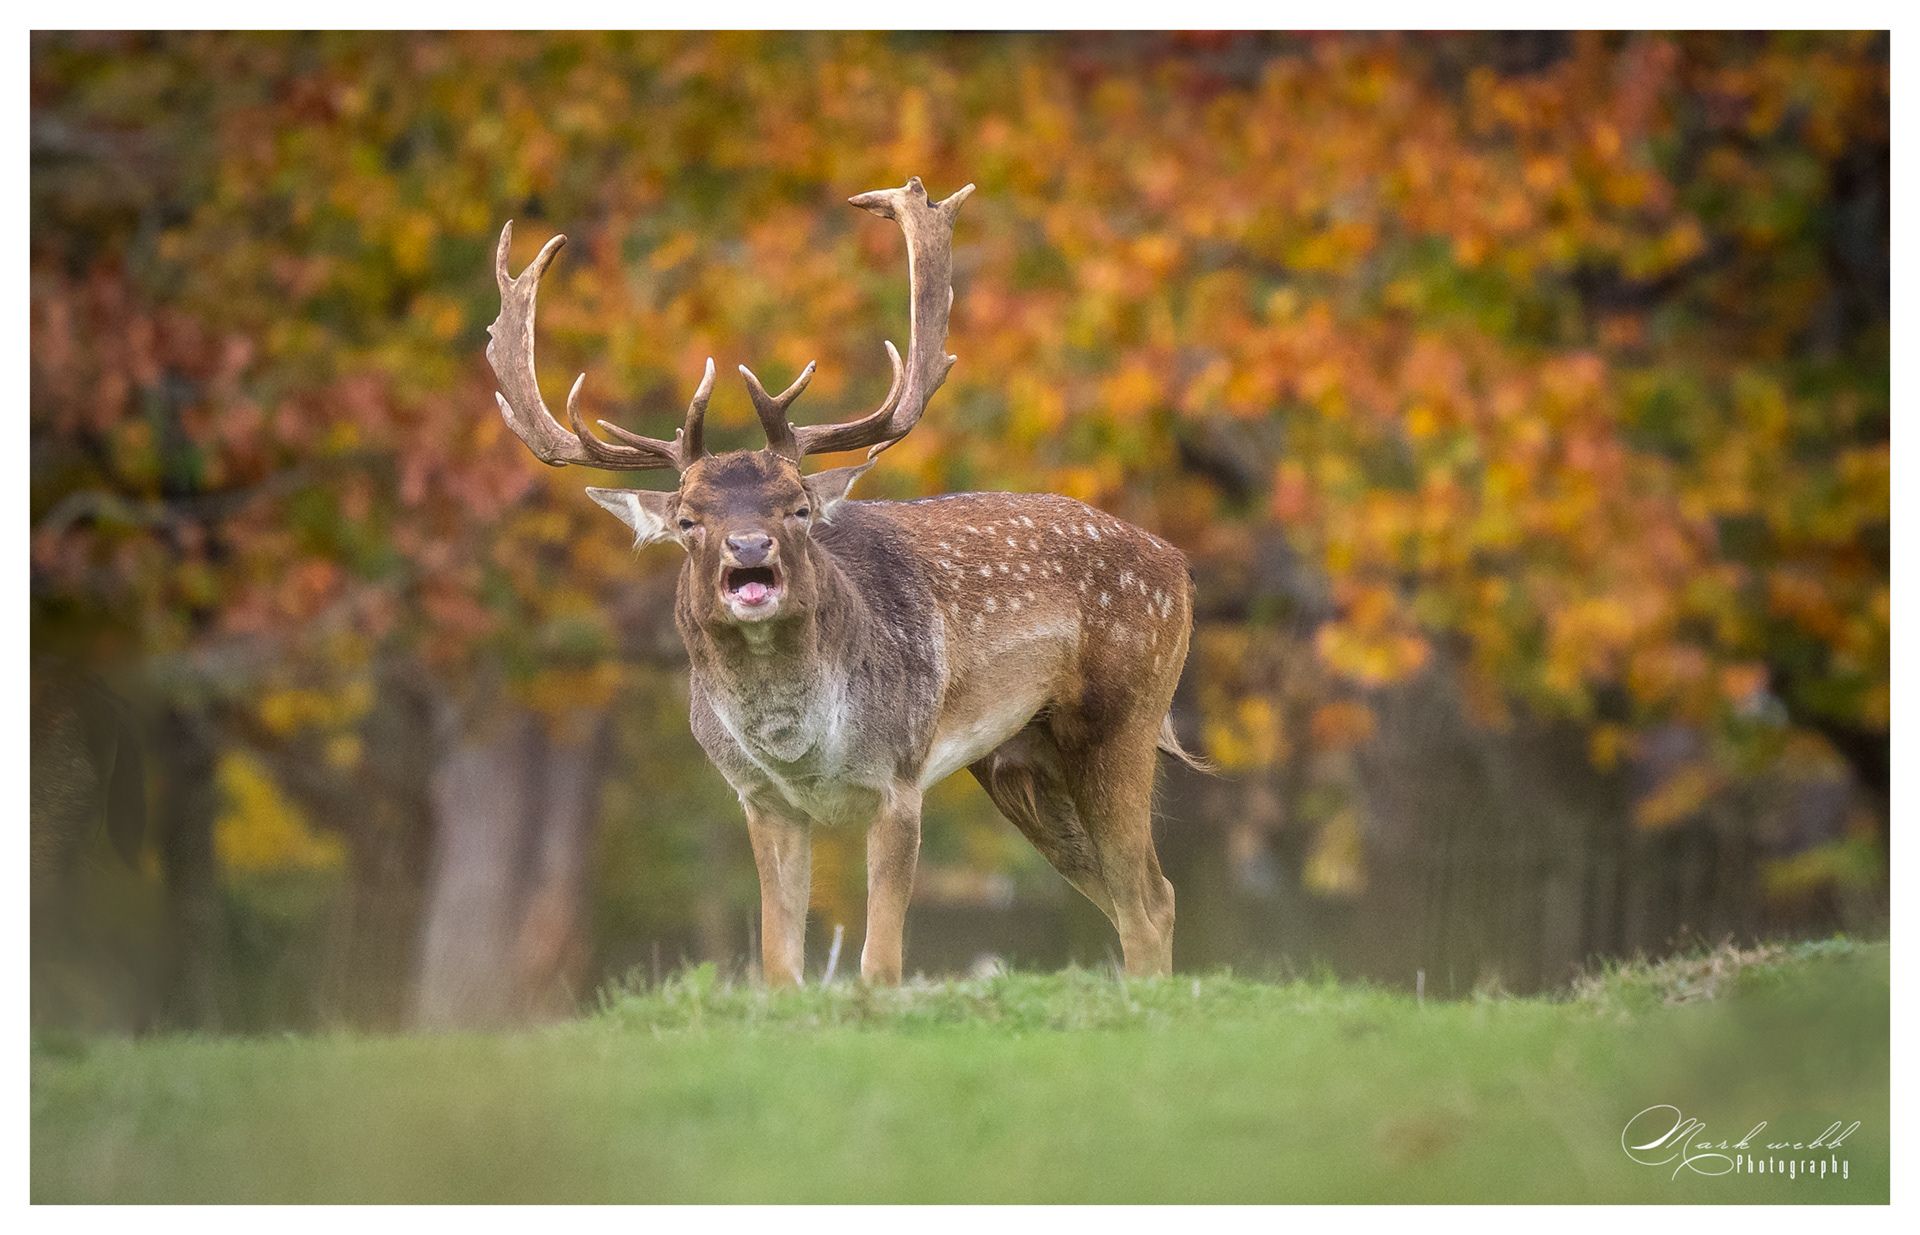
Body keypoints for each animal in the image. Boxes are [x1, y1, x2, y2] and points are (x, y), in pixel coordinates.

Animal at [485, 177, 1201, 986]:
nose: (749, 547)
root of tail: (1179, 565)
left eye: (798, 504)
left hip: (1123, 715)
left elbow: (879, 962)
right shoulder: (762, 800)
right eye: (688, 519)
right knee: (1136, 895)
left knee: (1148, 896)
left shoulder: (898, 778)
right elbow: (779, 964)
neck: (800, 748)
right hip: (1021, 761)